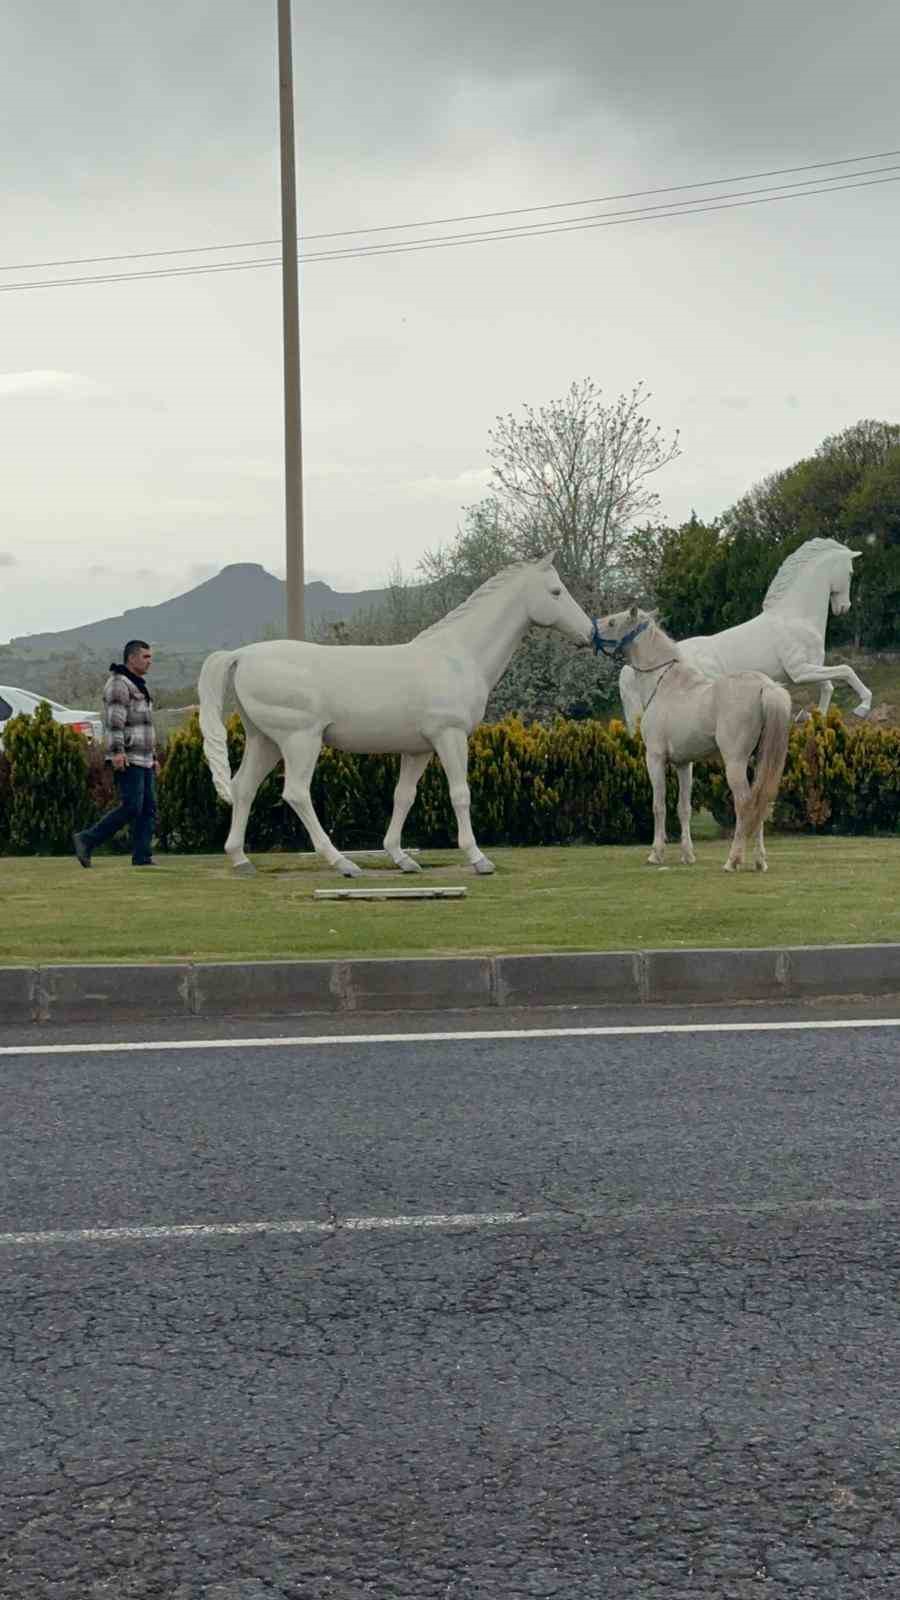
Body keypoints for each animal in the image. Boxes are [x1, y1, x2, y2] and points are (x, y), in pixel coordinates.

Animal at [198, 550, 592, 876]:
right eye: (556, 591)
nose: (589, 632)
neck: (457, 656)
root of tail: (243, 655)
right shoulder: (449, 737)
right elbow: (460, 793)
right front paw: (478, 858)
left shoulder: (418, 750)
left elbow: (404, 797)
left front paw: (402, 858)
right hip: (300, 741)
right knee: (296, 793)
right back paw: (343, 863)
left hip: (265, 741)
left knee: (243, 787)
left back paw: (241, 860)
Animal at [592, 601, 787, 876]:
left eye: (612, 622)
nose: (591, 630)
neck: (663, 684)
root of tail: (765, 687)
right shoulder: (684, 764)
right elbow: (683, 808)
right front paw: (687, 855)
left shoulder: (654, 758)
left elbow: (659, 805)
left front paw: (656, 854)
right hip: (757, 762)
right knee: (760, 801)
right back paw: (759, 861)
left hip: (735, 762)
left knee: (745, 803)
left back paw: (733, 860)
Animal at [614, 540, 871, 732]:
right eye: (850, 573)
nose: (844, 607)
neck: (796, 618)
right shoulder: (800, 672)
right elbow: (846, 670)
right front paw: (863, 707)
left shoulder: (811, 668)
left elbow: (828, 687)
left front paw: (815, 720)